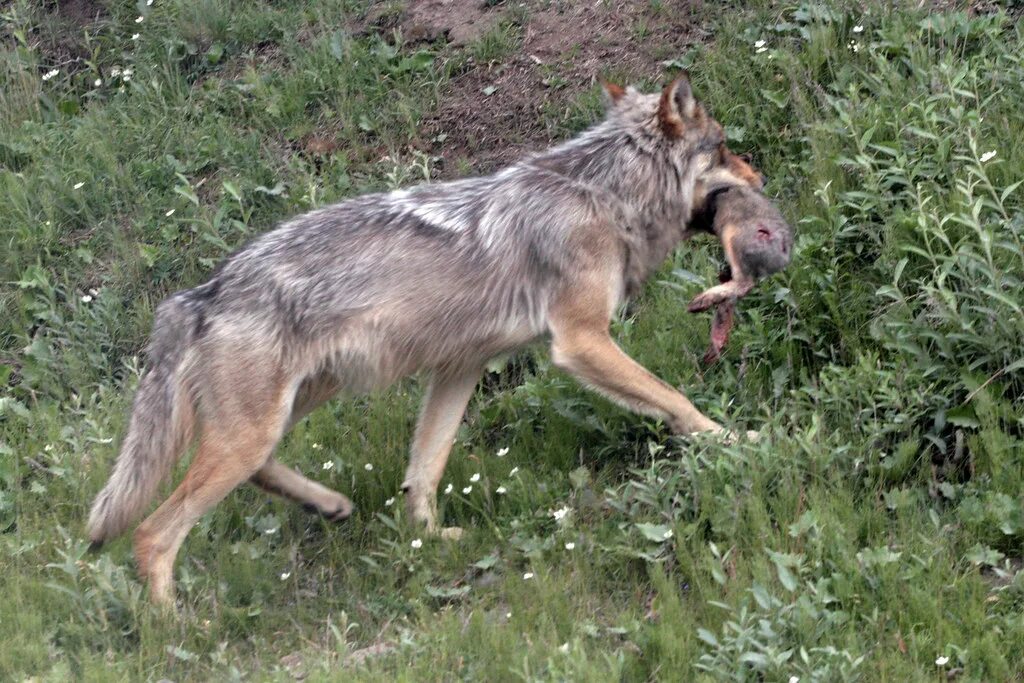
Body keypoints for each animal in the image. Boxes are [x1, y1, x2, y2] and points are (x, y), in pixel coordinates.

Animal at [90, 74, 782, 606]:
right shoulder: (581, 341)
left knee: (256, 473)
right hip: (252, 431)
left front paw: (428, 540)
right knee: (152, 533)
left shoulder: (459, 369)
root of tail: (197, 295)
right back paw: (177, 626)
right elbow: (677, 401)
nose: (761, 174)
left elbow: (424, 469)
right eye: (726, 148)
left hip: (286, 411)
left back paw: (329, 506)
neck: (604, 195)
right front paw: (740, 442)